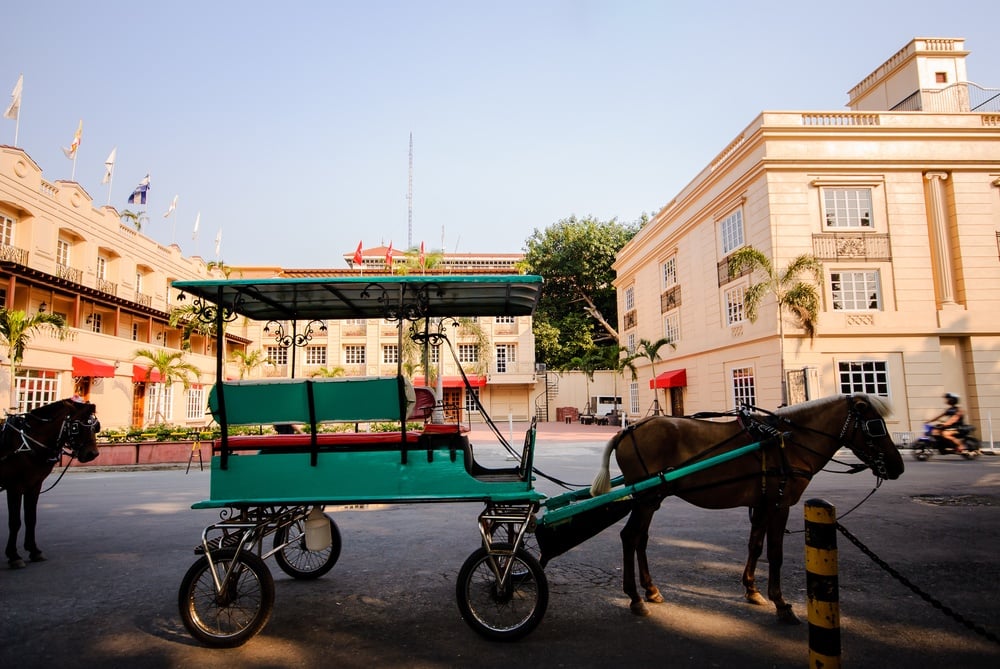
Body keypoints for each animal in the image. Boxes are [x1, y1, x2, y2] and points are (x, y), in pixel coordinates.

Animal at [1, 400, 100, 568]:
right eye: (75, 427)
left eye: (95, 426)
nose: (92, 454)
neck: (28, 442)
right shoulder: (14, 487)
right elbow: (14, 522)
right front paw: (14, 556)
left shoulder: (34, 486)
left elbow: (31, 518)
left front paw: (34, 550)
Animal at [588, 392, 904, 620]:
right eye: (875, 427)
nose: (897, 466)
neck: (790, 442)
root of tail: (626, 431)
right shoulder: (780, 502)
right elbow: (775, 552)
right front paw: (781, 603)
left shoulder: (762, 502)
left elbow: (755, 545)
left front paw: (752, 591)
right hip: (647, 497)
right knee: (630, 537)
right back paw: (635, 598)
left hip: (652, 498)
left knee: (640, 539)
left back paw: (651, 591)